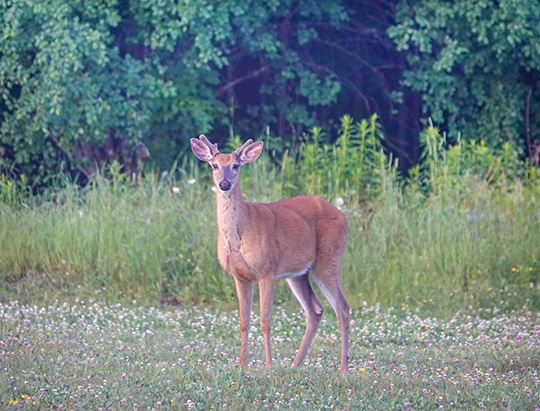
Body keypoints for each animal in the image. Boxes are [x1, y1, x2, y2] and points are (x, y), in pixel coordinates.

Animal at [190, 135, 350, 374]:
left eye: (236, 166)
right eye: (214, 165)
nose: (224, 184)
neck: (238, 237)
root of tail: (343, 216)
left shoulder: (267, 271)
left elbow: (265, 321)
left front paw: (268, 365)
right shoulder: (240, 276)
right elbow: (244, 321)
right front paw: (242, 365)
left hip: (328, 259)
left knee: (342, 307)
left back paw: (343, 368)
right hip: (298, 273)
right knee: (315, 310)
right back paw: (295, 364)